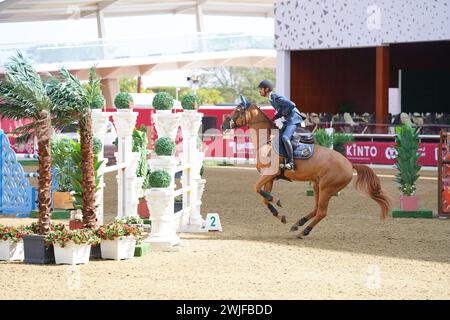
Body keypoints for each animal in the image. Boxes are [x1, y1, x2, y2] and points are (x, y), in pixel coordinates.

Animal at [221, 102, 390, 238]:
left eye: (237, 110)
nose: (223, 125)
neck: (267, 142)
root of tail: (349, 164)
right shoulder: (269, 177)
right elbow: (263, 196)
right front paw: (279, 214)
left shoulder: (270, 174)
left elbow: (256, 188)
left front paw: (277, 202)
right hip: (317, 186)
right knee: (315, 210)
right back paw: (298, 223)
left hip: (327, 189)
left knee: (321, 212)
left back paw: (304, 231)